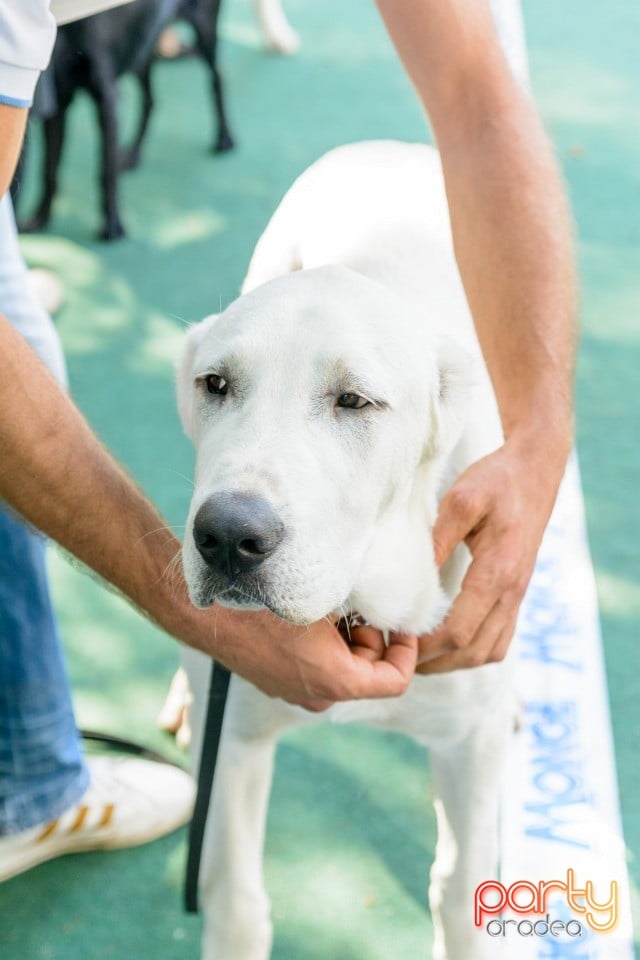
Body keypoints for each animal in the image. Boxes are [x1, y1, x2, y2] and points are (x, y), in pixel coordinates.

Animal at [19, 0, 235, 239]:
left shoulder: (107, 100)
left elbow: (106, 171)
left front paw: (113, 224)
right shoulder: (59, 104)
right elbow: (50, 170)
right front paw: (40, 219)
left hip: (205, 30)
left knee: (217, 79)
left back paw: (225, 138)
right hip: (143, 49)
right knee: (150, 101)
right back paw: (133, 155)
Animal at [176, 142, 516, 960]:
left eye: (355, 401)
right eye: (215, 384)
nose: (226, 536)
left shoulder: (470, 744)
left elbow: (463, 896)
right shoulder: (233, 740)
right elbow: (236, 903)